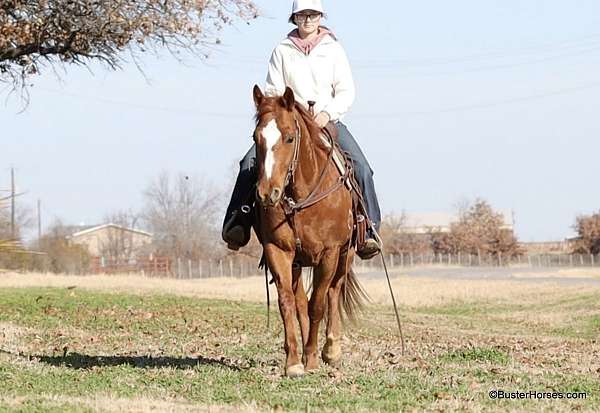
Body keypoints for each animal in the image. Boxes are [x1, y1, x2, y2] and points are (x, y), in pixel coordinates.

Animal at [250, 84, 366, 376]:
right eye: (256, 137)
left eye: (290, 138)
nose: (267, 193)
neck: (302, 197)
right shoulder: (279, 251)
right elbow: (288, 303)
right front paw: (293, 362)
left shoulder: (329, 253)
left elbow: (318, 304)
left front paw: (313, 358)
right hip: (298, 262)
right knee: (301, 300)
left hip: (345, 256)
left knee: (334, 292)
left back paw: (331, 349)